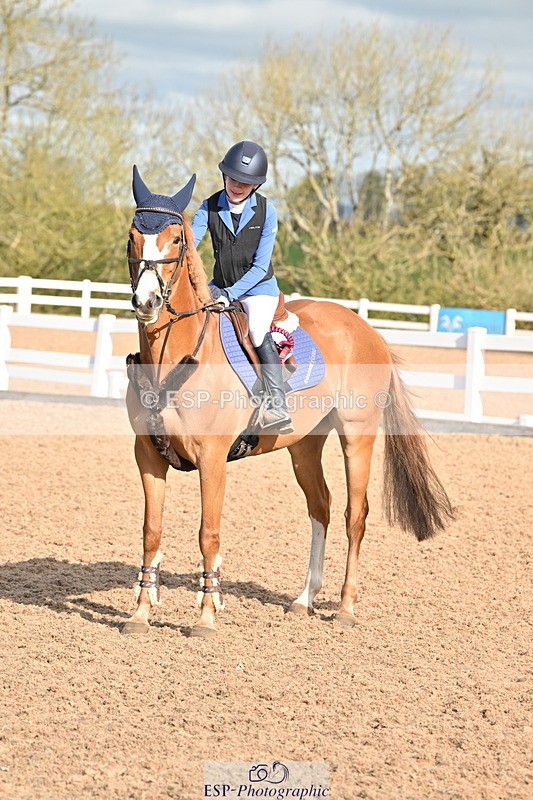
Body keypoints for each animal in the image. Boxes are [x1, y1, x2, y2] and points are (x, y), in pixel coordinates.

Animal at [123, 167, 454, 637]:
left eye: (175, 239)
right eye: (134, 236)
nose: (146, 302)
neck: (173, 359)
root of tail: (365, 328)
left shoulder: (212, 459)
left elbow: (208, 533)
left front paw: (205, 616)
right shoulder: (148, 456)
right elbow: (151, 531)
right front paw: (140, 613)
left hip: (357, 436)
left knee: (355, 513)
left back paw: (345, 607)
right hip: (304, 444)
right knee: (321, 507)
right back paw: (304, 599)